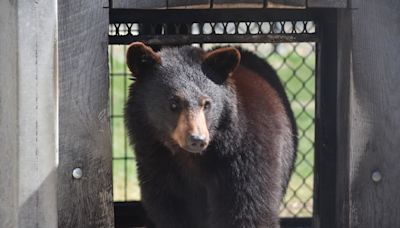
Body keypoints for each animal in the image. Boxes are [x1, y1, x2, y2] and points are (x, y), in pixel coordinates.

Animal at [125, 41, 296, 228]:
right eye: (173, 103)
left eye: (206, 104)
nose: (197, 139)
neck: (192, 158)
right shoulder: (156, 164)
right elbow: (170, 211)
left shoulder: (245, 156)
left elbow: (248, 209)